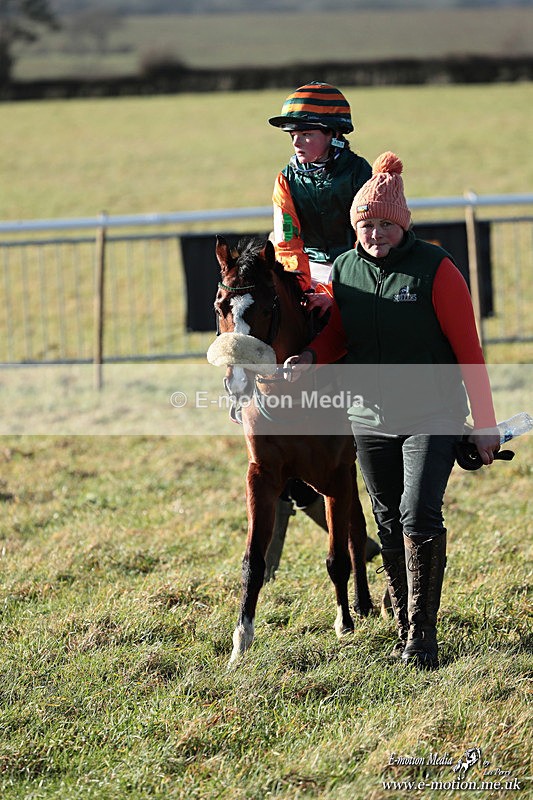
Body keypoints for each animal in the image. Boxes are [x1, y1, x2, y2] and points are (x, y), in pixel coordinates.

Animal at [207, 235, 373, 665]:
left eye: (267, 308)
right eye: (220, 306)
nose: (236, 382)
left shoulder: (335, 473)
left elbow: (336, 557)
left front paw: (343, 623)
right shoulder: (262, 475)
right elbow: (253, 560)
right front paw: (241, 641)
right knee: (357, 524)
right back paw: (365, 602)